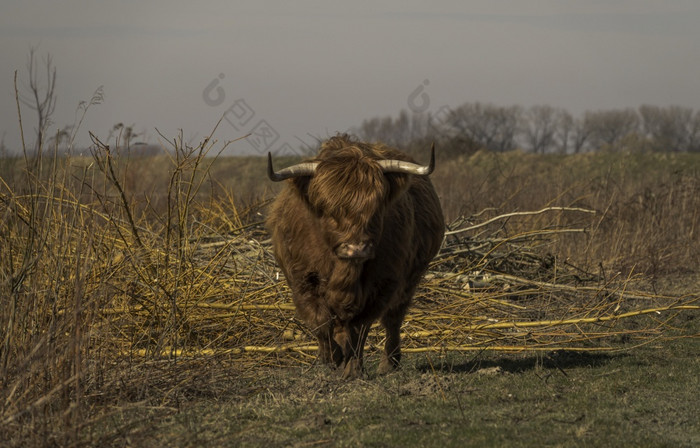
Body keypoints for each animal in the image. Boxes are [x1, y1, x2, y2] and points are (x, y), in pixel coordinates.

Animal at [266, 136, 446, 378]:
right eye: (327, 209)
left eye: (376, 209)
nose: (356, 248)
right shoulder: (302, 280)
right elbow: (320, 321)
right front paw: (331, 357)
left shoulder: (382, 285)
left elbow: (360, 328)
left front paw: (353, 369)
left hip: (410, 278)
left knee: (393, 319)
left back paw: (388, 362)